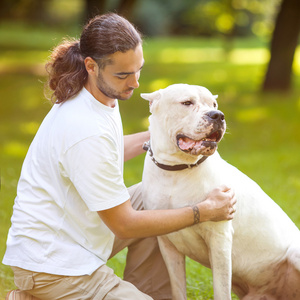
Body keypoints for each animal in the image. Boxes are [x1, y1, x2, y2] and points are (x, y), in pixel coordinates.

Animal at [141, 84, 300, 300]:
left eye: (214, 104)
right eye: (187, 102)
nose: (217, 115)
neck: (176, 170)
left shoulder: (220, 239)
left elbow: (221, 289)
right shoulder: (167, 244)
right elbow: (178, 288)